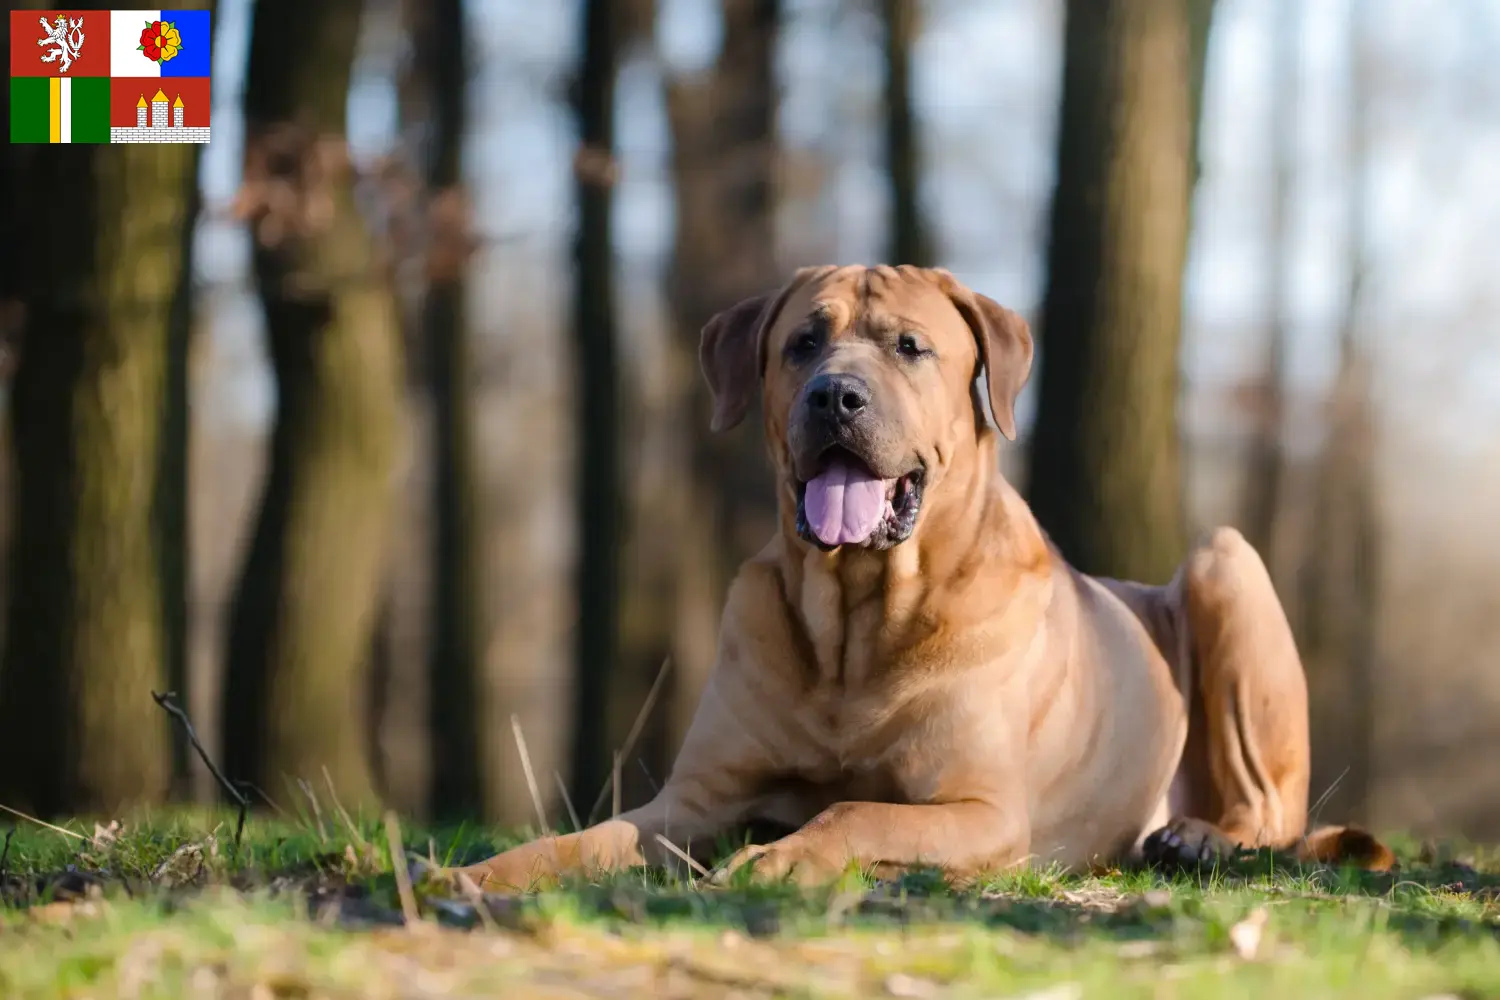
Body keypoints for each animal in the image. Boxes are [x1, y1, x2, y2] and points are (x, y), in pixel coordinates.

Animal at [459, 265, 1392, 893]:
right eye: (802, 343)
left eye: (910, 347)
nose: (835, 396)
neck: (854, 624)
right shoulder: (694, 800)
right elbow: (591, 837)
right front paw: (481, 872)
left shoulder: (981, 808)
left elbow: (855, 810)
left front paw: (776, 860)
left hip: (1223, 562)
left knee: (1271, 814)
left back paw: (1197, 838)